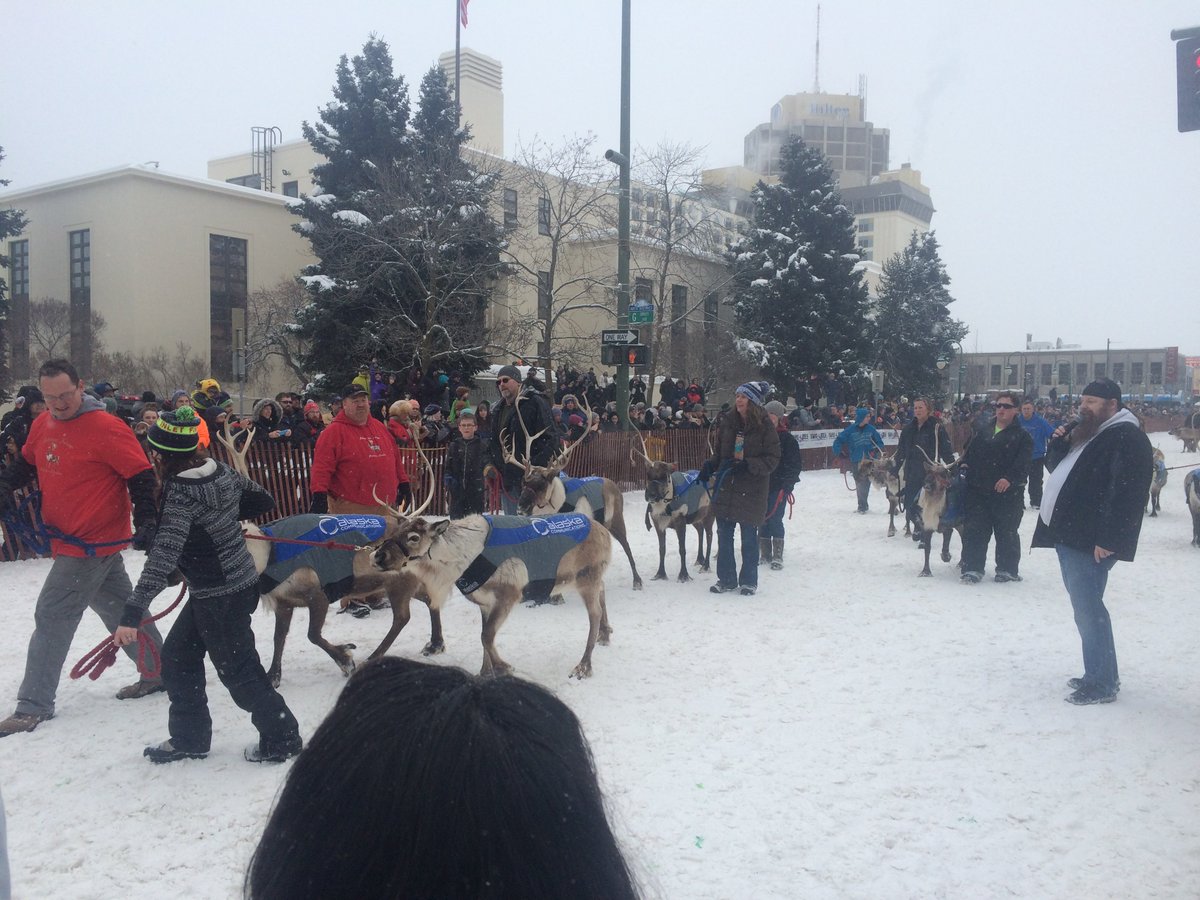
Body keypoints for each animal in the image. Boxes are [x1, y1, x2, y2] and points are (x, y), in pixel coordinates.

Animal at [217, 425, 440, 686]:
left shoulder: (318, 594)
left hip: (398, 582)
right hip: (407, 583)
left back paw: (373, 657)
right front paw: (273, 675)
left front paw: (345, 658)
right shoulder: (283, 602)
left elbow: (313, 635)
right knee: (429, 599)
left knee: (402, 618)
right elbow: (278, 638)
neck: (269, 556)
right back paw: (435, 644)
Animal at [370, 509, 615, 679]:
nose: (378, 556)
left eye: (413, 537)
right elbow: (483, 636)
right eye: (395, 531)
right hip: (589, 578)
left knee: (594, 613)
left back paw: (584, 666)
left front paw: (504, 666)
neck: (461, 561)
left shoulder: (508, 595)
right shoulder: (484, 601)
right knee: (603, 592)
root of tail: (605, 532)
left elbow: (486, 636)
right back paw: (605, 634)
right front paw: (485, 672)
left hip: (586, 578)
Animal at [502, 396, 642, 593]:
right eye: (524, 482)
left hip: (615, 519)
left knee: (626, 545)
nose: (521, 507)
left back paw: (637, 580)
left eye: (541, 484)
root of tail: (612, 483)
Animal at [630, 432, 713, 582]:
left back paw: (705, 566)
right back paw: (700, 559)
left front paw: (684, 575)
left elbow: (682, 549)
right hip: (696, 518)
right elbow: (661, 549)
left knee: (710, 536)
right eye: (648, 475)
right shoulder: (658, 523)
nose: (650, 495)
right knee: (701, 531)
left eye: (664, 476)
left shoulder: (680, 521)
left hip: (709, 515)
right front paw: (660, 574)